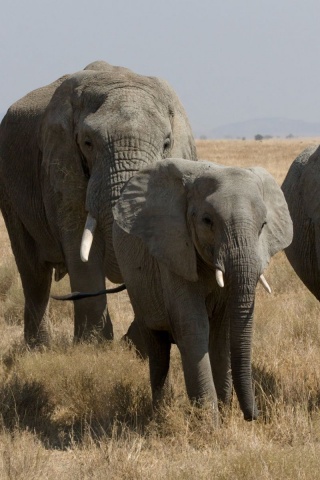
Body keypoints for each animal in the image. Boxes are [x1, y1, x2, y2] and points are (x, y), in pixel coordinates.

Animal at [0, 60, 196, 344]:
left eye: (167, 143)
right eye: (87, 143)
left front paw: (135, 342)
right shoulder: (61, 163)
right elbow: (78, 245)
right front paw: (94, 345)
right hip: (9, 186)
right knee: (34, 273)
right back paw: (39, 347)